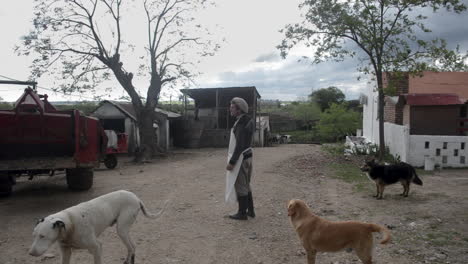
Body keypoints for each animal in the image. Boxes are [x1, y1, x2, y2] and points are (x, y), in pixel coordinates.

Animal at [28, 190, 167, 264]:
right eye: (34, 236)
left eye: (42, 236)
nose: (31, 253)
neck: (70, 223)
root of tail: (136, 197)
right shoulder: (66, 251)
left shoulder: (97, 247)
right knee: (131, 248)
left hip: (121, 230)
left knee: (132, 247)